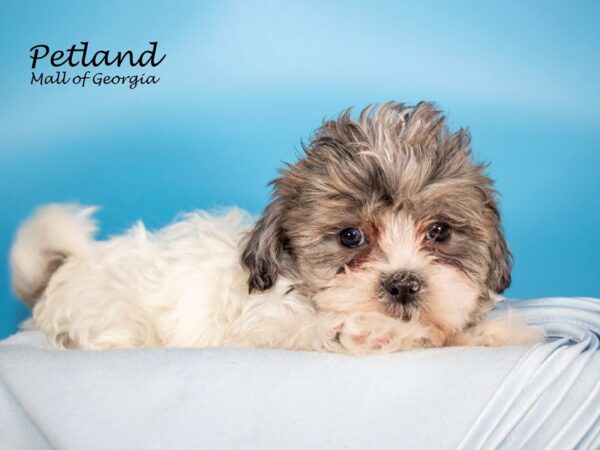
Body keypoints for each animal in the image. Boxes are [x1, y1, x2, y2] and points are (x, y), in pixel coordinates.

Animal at [8, 103, 544, 356]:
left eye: (438, 231)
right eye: (351, 237)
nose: (403, 283)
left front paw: (494, 333)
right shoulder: (264, 325)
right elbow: (310, 330)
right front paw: (374, 331)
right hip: (109, 318)